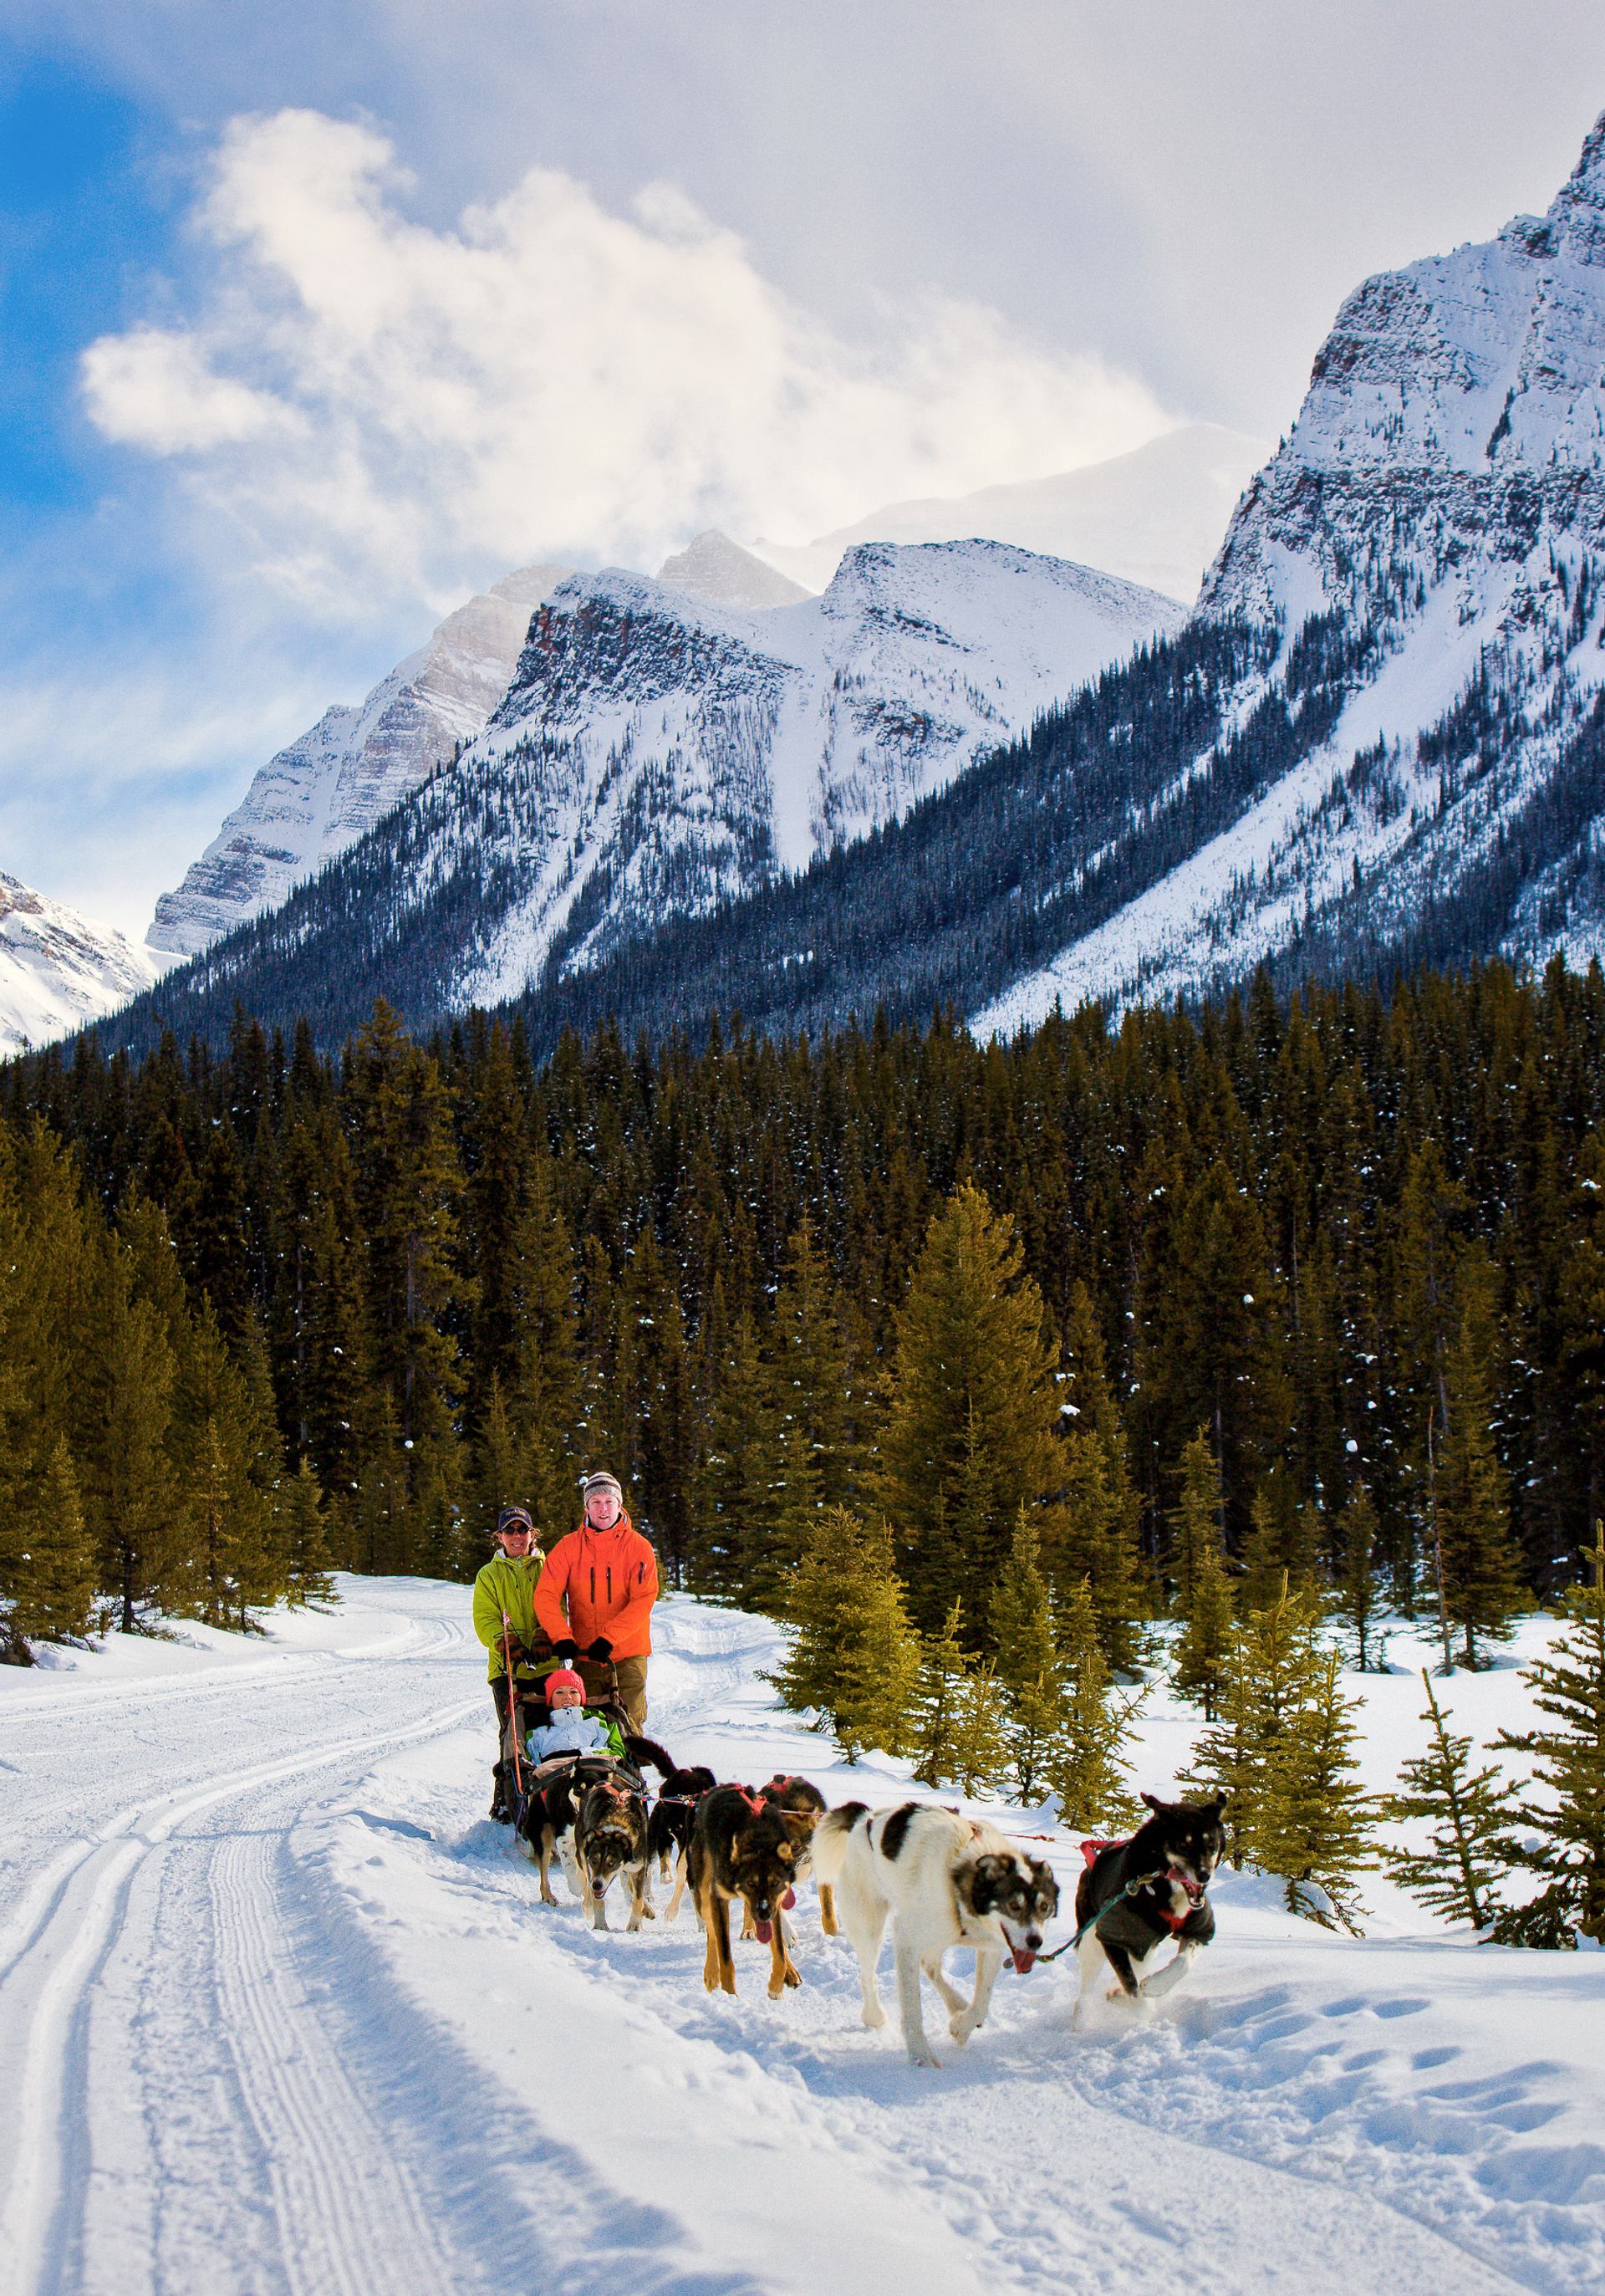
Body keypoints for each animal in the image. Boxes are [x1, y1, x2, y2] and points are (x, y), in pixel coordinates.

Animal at [693, 1772, 817, 1992]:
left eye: (795, 1847)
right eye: (749, 1883)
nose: (792, 1875)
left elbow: (779, 1948)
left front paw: (785, 1975)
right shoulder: (719, 1897)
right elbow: (723, 1951)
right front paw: (728, 1990)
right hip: (705, 1891)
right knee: (711, 1933)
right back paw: (711, 1973)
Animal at [822, 1799, 1061, 2075]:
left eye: (1044, 1907)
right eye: (1014, 1905)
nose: (1036, 1941)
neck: (957, 1878)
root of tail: (865, 1819)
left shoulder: (991, 1947)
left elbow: (982, 2003)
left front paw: (962, 2026)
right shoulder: (907, 1940)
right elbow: (913, 2010)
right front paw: (920, 2055)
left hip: (940, 1935)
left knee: (930, 1965)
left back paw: (957, 2004)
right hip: (871, 1925)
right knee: (868, 1974)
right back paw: (874, 2015)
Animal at [1078, 1781, 1230, 2020]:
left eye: (1212, 1845)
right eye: (1183, 1845)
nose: (1204, 1875)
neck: (1160, 1888)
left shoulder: (1198, 1930)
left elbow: (1183, 1962)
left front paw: (1155, 1985)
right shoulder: (1112, 1938)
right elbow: (1132, 1990)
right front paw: (1134, 2003)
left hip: (1144, 1948)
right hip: (1092, 1942)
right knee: (1085, 1991)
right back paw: (1080, 2019)